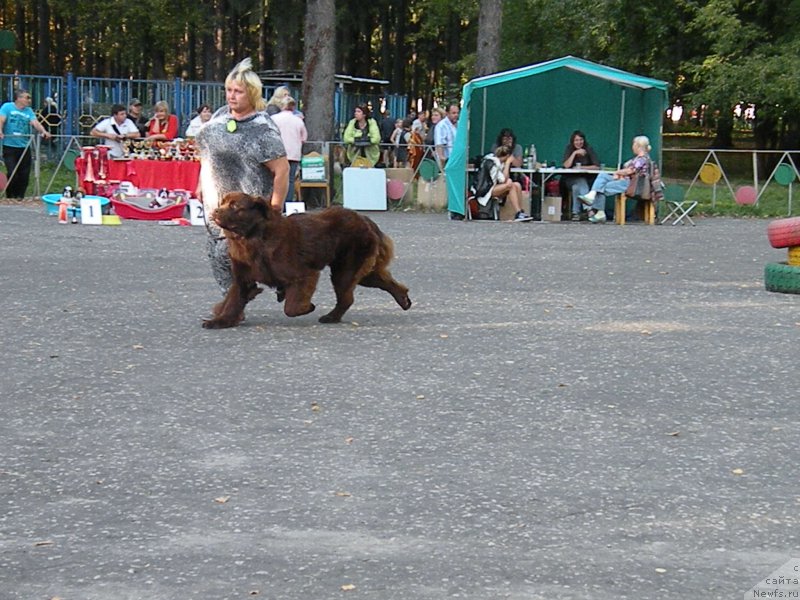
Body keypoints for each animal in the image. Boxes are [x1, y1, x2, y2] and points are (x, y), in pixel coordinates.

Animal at [203, 193, 412, 328]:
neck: (253, 238)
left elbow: (291, 307)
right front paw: (219, 321)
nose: (214, 211)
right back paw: (403, 300)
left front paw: (307, 307)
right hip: (360, 270)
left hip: (346, 269)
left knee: (347, 297)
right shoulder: (243, 277)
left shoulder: (303, 274)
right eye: (222, 202)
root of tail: (365, 219)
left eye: (234, 206)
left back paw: (330, 317)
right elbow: (233, 301)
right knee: (386, 282)